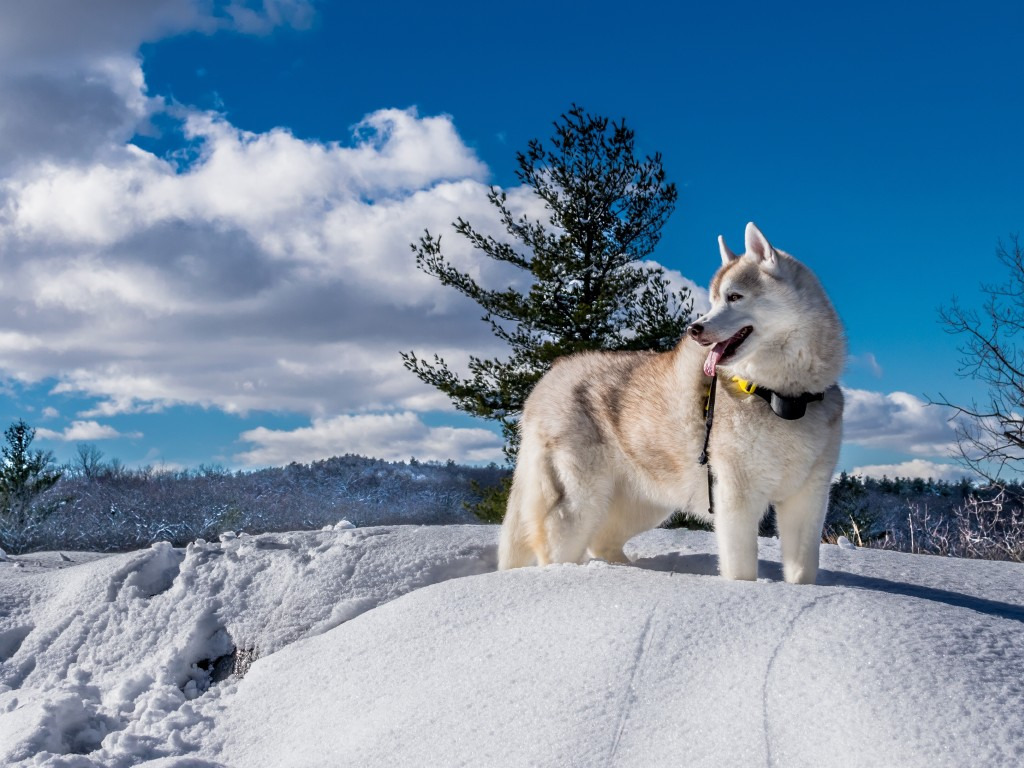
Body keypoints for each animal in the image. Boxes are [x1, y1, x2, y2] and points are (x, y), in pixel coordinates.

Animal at [499, 222, 843, 581]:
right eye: (714, 300)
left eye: (734, 297)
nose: (694, 328)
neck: (779, 396)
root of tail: (548, 378)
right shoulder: (735, 497)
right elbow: (741, 571)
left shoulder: (808, 500)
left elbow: (803, 573)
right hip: (581, 503)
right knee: (556, 548)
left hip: (646, 504)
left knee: (602, 540)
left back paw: (629, 571)